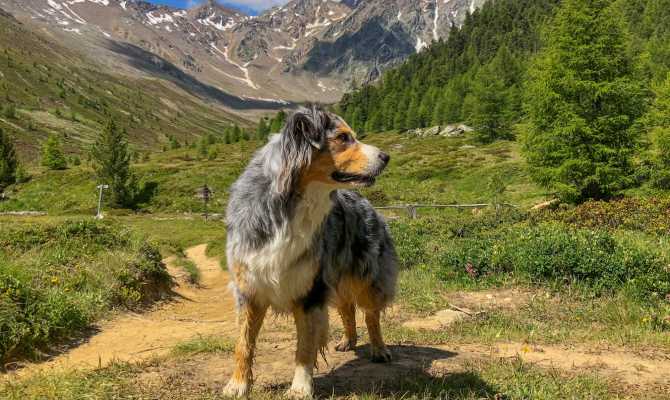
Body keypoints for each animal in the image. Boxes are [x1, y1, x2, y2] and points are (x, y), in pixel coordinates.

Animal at [224, 104, 400, 398]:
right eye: (342, 137)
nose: (386, 157)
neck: (289, 206)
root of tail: (368, 204)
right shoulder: (249, 288)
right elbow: (243, 343)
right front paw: (238, 384)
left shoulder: (310, 290)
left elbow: (305, 346)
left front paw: (300, 387)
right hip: (336, 276)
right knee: (347, 307)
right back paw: (348, 341)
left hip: (366, 276)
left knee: (370, 314)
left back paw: (379, 349)